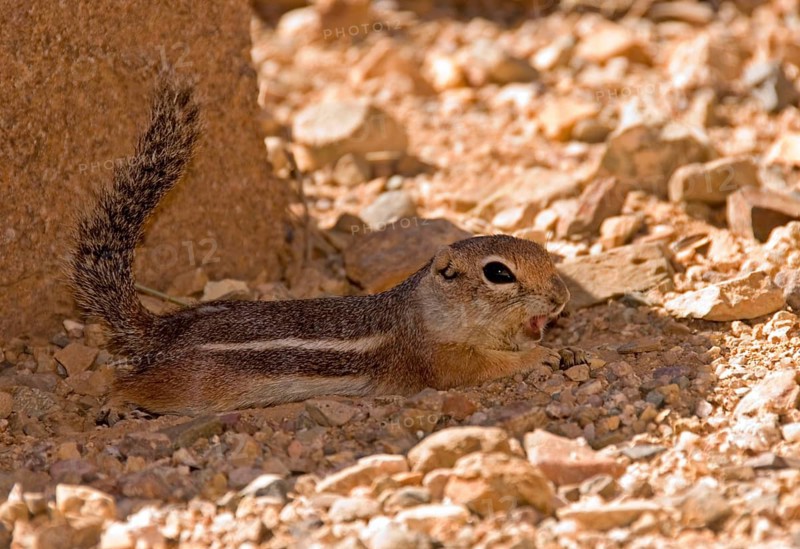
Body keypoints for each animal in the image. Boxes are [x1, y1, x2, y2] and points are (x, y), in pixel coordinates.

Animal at [69, 76, 585, 415]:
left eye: (546, 256)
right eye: (499, 273)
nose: (562, 298)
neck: (423, 311)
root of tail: (161, 330)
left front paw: (563, 350)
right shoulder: (441, 360)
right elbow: (487, 368)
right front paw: (542, 356)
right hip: (188, 388)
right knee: (129, 384)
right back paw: (115, 404)